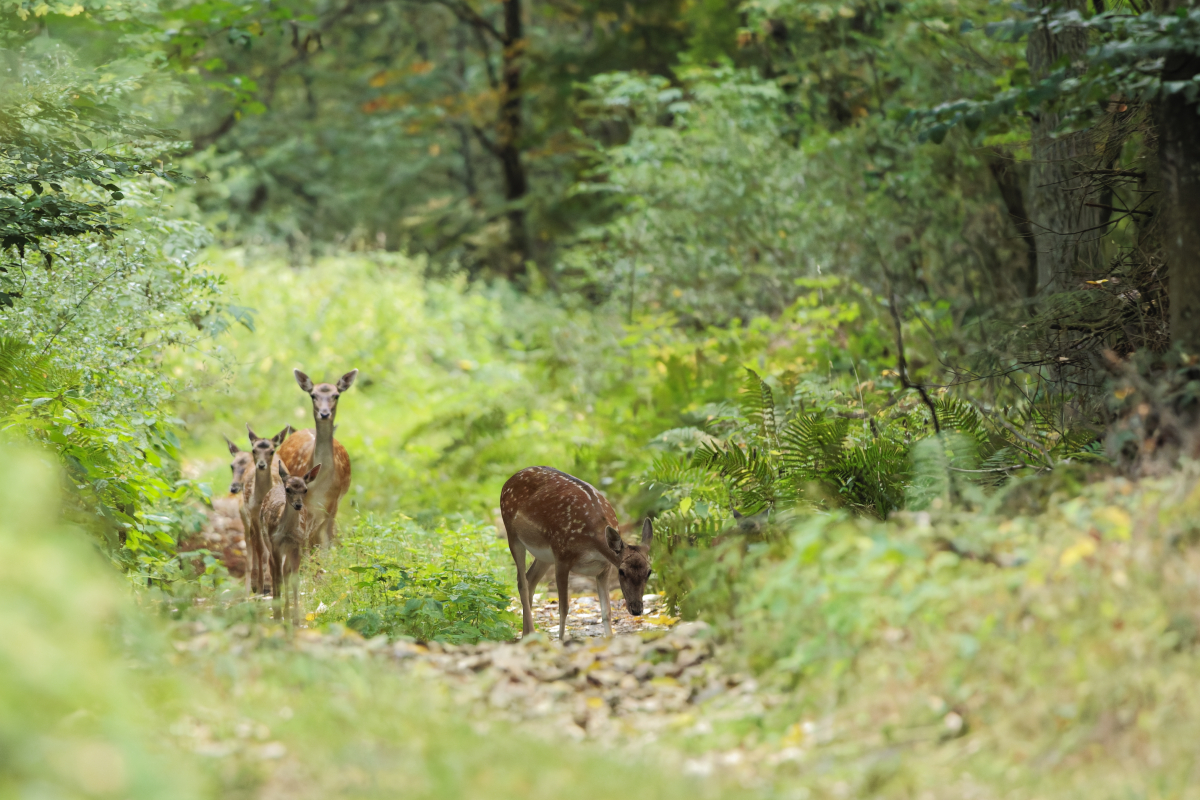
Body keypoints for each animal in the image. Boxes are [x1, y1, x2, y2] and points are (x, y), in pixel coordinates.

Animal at [237, 424, 292, 596]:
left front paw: (271, 585)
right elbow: (261, 549)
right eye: (254, 450)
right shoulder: (254, 514)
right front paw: (261, 586)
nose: (261, 465)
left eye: (271, 451)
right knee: (253, 540)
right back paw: (255, 585)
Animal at [261, 459, 322, 625]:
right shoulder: (275, 544)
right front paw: (279, 615)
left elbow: (294, 579)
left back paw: (286, 613)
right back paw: (277, 611)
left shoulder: (297, 545)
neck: (287, 532)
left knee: (284, 571)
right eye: (288, 489)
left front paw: (295, 618)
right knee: (273, 569)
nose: (298, 505)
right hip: (267, 541)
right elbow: (278, 577)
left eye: (305, 490)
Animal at [500, 466, 653, 641]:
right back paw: (530, 634)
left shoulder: (604, 568)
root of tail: (508, 481)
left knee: (530, 579)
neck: (593, 546)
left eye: (649, 572)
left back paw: (527, 636)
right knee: (522, 582)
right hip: (513, 535)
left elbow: (606, 611)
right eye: (622, 571)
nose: (636, 610)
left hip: (545, 556)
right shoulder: (562, 556)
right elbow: (564, 608)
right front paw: (561, 641)